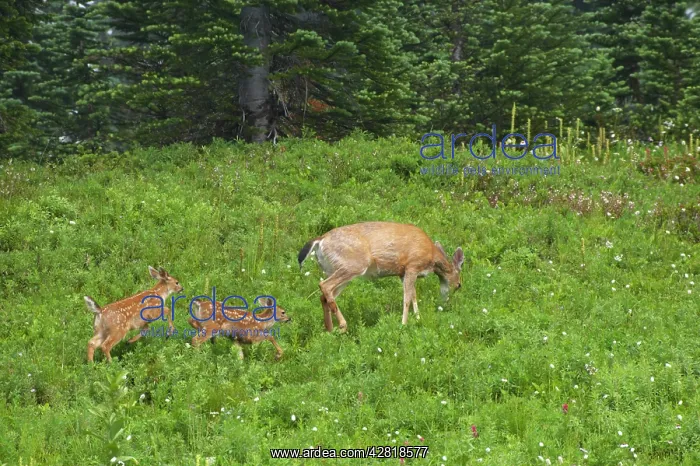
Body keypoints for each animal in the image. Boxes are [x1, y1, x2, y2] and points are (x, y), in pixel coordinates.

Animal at [298, 221, 464, 332]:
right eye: (459, 285)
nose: (447, 303)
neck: (431, 256)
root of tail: (320, 240)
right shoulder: (412, 265)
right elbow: (407, 298)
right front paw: (404, 324)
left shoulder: (402, 272)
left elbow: (413, 295)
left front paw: (418, 319)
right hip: (353, 265)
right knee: (324, 286)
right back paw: (343, 326)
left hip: (335, 269)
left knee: (324, 295)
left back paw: (330, 329)